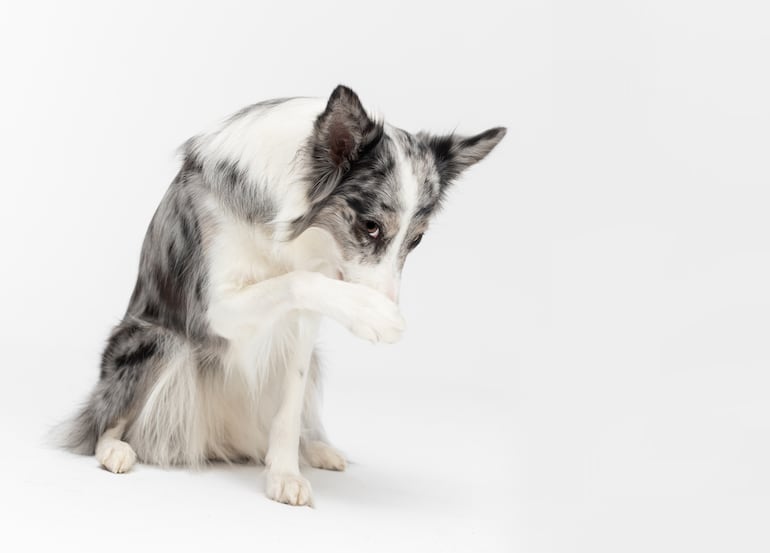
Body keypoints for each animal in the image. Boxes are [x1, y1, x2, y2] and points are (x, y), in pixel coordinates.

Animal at [61, 85, 504, 504]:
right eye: (371, 226)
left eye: (417, 239)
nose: (389, 304)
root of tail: (216, 437)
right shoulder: (212, 309)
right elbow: (297, 280)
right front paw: (373, 314)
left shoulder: (302, 329)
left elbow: (289, 409)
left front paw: (285, 475)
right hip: (155, 340)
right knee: (102, 419)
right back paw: (114, 449)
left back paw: (316, 450)